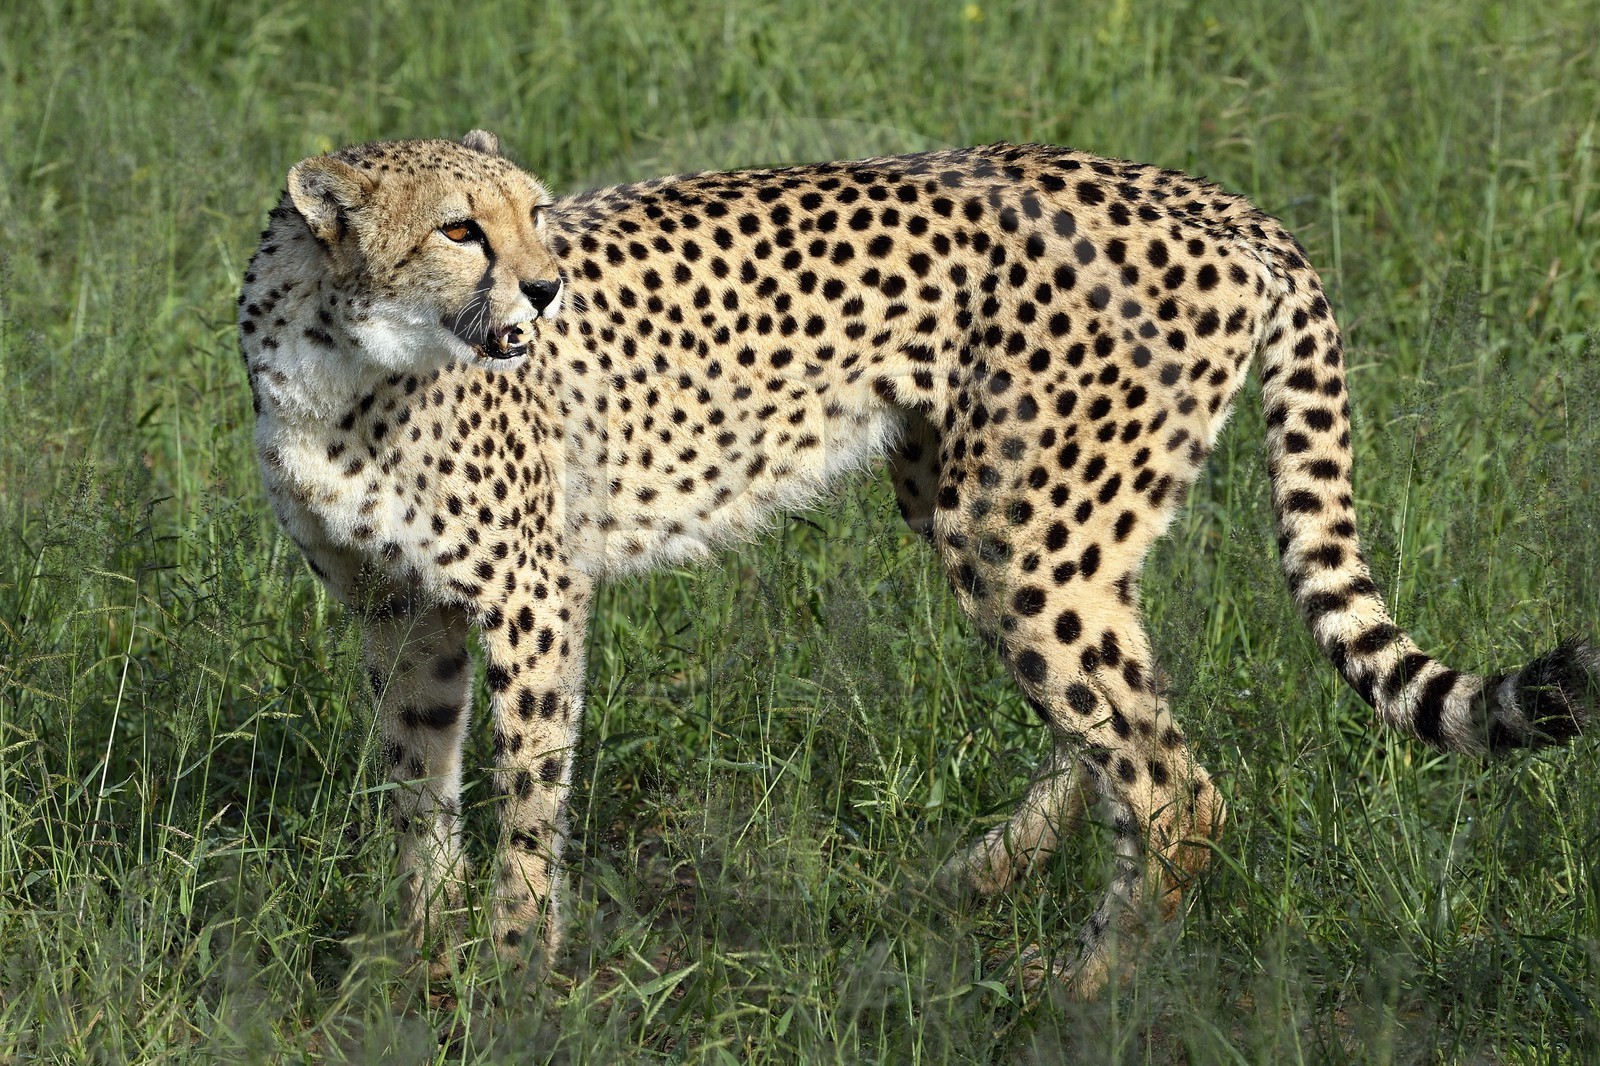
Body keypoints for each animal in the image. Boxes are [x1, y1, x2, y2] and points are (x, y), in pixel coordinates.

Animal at [238, 128, 1597, 997]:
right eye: (461, 226)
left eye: (532, 208)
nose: (547, 285)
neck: (345, 359)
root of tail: (1192, 189)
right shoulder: (397, 613)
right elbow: (416, 788)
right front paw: (412, 962)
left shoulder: (531, 598)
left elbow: (526, 800)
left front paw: (514, 975)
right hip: (1024, 512)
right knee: (1121, 724)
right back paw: (987, 883)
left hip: (1019, 531)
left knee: (1170, 781)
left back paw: (1086, 990)